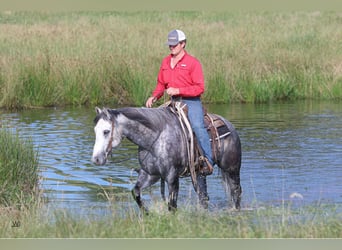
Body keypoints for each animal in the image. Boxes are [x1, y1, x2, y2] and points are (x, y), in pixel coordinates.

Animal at [89, 104, 242, 212]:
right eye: (95, 130)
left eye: (106, 131)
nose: (96, 159)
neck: (155, 139)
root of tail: (230, 126)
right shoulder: (151, 175)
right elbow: (136, 192)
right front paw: (147, 213)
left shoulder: (172, 177)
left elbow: (172, 205)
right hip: (199, 173)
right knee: (203, 196)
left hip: (232, 169)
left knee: (236, 191)